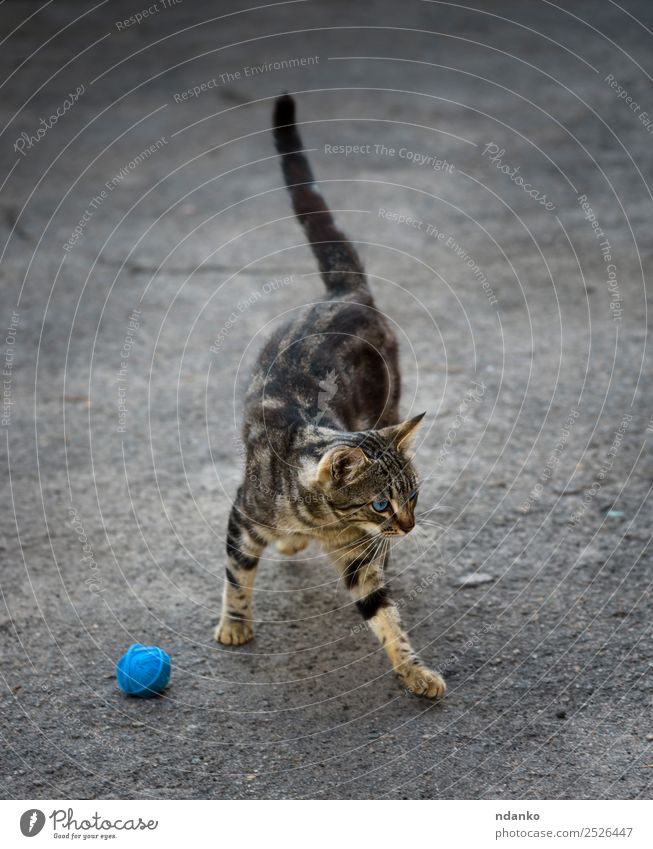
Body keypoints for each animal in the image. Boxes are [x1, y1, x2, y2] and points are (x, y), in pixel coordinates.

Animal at [213, 96, 444, 700]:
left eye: (413, 494)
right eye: (381, 503)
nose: (407, 526)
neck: (322, 523)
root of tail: (346, 292)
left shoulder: (361, 557)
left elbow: (385, 616)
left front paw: (415, 670)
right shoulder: (243, 514)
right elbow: (236, 574)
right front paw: (235, 624)